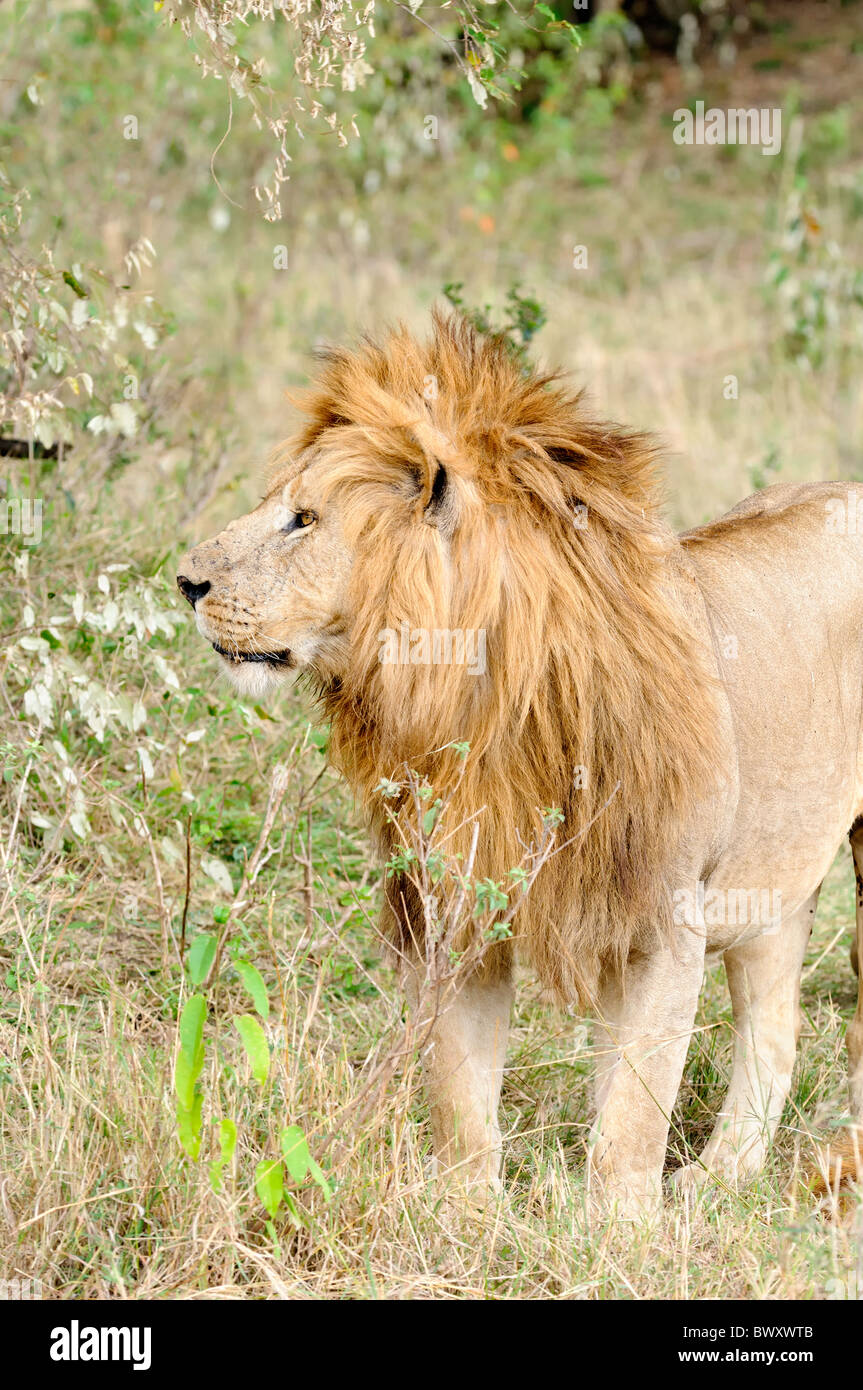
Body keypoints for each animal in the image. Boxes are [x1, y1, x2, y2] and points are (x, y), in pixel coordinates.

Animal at [177, 312, 863, 1214]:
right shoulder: (457, 903)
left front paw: (619, 1230)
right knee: (775, 1030)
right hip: (775, 878)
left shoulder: (662, 919)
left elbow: (631, 1114)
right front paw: (467, 1214)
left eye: (303, 519)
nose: (185, 581)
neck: (479, 700)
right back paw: (719, 1180)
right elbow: (463, 1090)